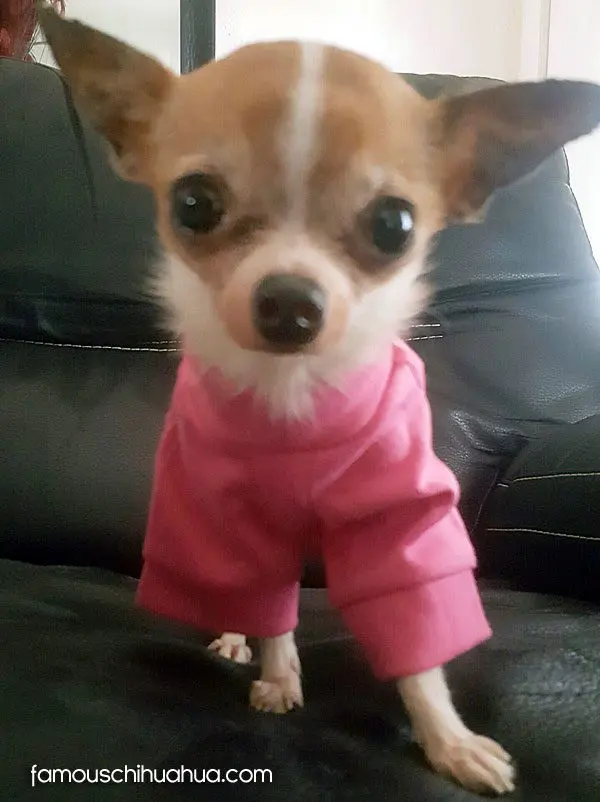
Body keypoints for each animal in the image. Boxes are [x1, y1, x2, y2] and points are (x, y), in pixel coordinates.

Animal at [38, 3, 600, 795]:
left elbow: (416, 643)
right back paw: (235, 637)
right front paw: (277, 674)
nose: (289, 303)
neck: (292, 396)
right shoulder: (234, 518)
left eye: (394, 225)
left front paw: (448, 739)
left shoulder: (396, 520)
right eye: (193, 205)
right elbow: (271, 609)